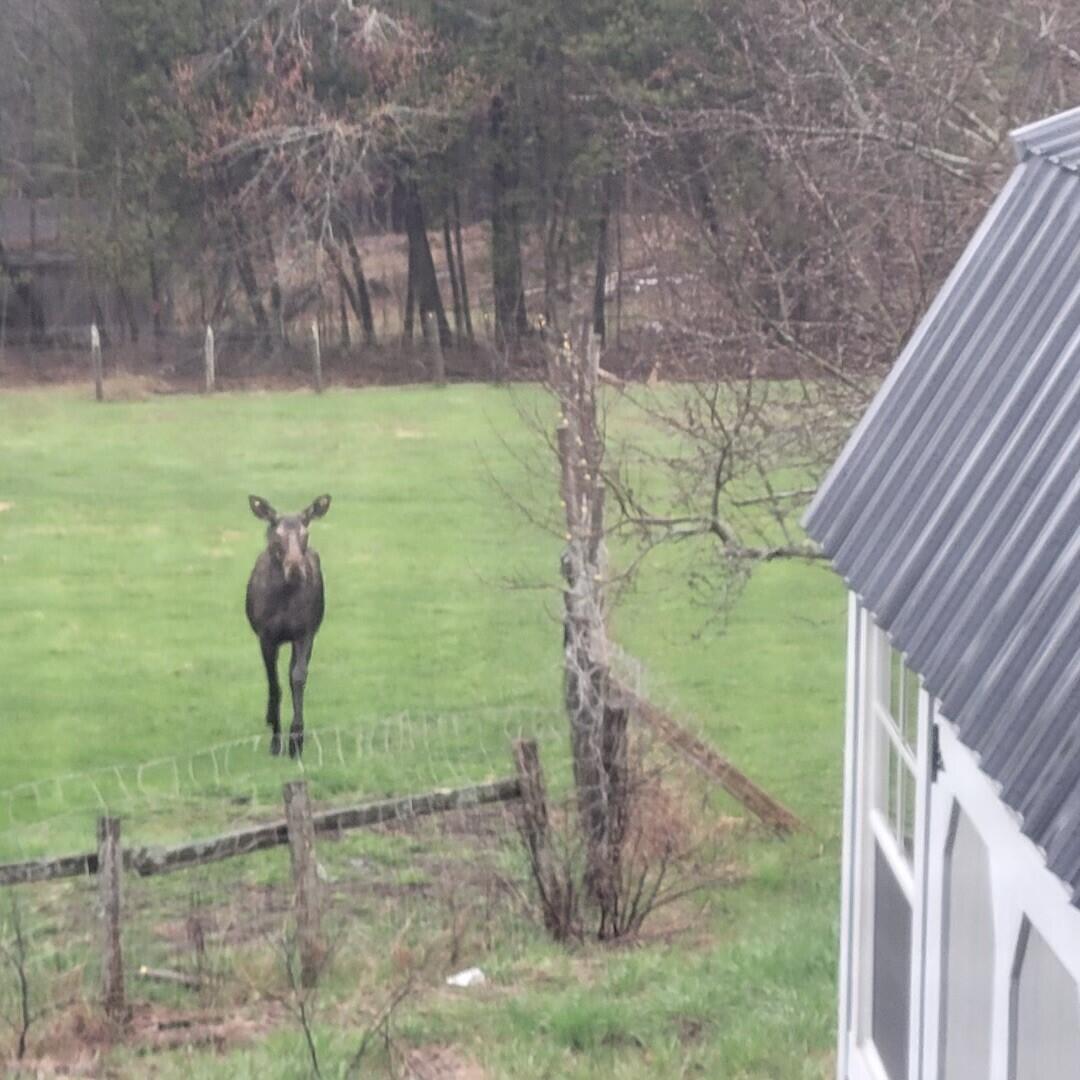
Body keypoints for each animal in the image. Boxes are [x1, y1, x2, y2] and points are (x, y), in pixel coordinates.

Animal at [246, 494, 331, 758]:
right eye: (277, 535)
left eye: (306, 534)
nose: (295, 568)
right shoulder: (266, 636)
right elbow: (274, 685)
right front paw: (276, 740)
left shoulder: (305, 632)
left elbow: (298, 677)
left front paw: (296, 740)